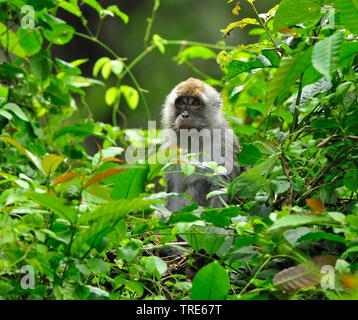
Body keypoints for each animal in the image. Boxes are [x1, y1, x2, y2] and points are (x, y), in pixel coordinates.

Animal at [160, 77, 242, 212]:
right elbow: (174, 193)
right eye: (181, 102)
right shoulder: (171, 148)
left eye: (195, 103)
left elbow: (220, 188)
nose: (185, 115)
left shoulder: (222, 145)